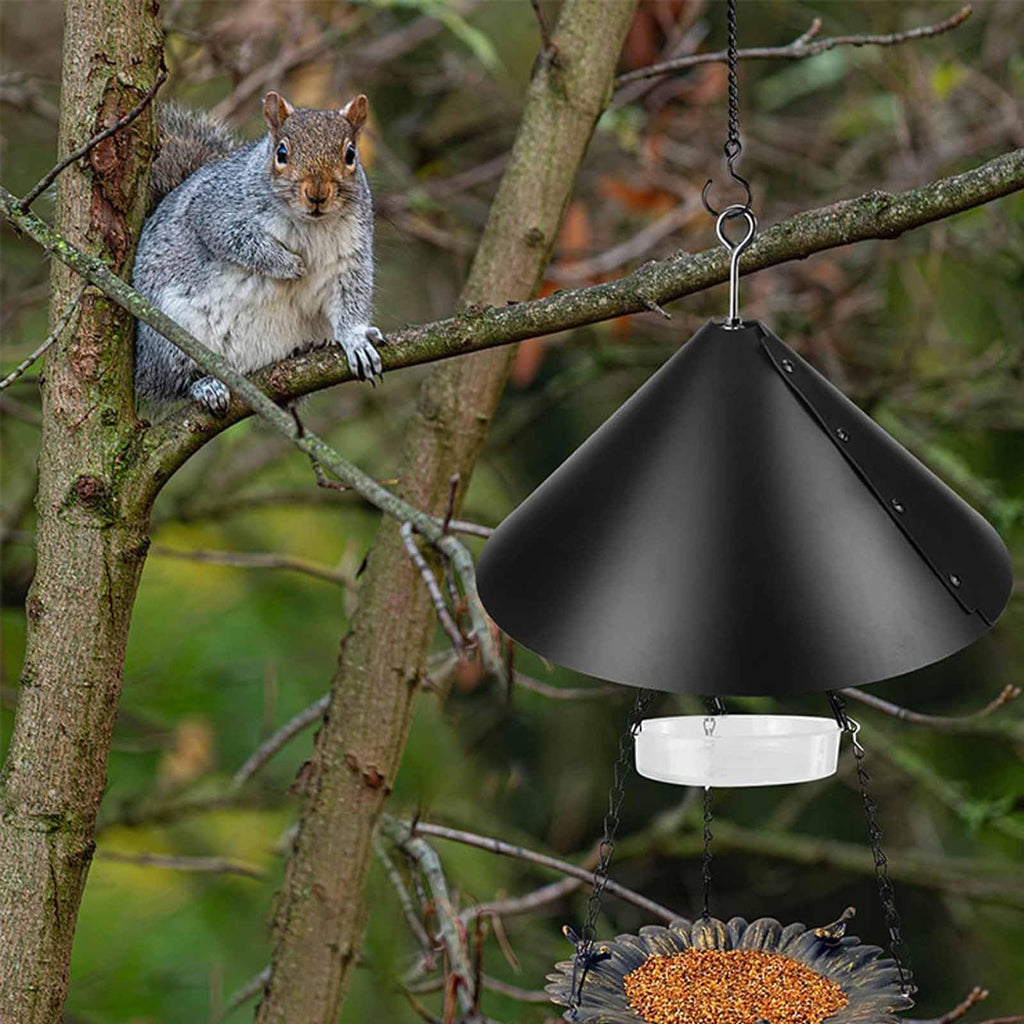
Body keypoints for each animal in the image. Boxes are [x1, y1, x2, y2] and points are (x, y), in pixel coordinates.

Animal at [133, 91, 385, 417]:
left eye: (351, 154)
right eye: (281, 153)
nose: (317, 194)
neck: (310, 224)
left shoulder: (351, 256)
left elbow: (351, 296)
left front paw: (356, 339)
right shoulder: (213, 210)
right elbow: (237, 241)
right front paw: (289, 265)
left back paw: (305, 350)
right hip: (169, 334)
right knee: (174, 382)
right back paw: (205, 385)